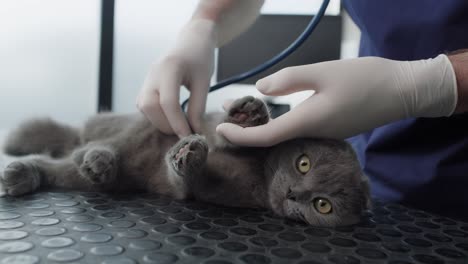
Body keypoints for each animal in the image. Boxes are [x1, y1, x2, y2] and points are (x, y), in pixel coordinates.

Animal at [1, 96, 372, 226]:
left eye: (323, 205)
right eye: (303, 163)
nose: (294, 193)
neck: (260, 173)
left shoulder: (209, 192)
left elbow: (188, 182)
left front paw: (187, 158)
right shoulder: (210, 126)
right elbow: (225, 132)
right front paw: (249, 115)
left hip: (100, 178)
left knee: (61, 167)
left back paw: (27, 173)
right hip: (130, 130)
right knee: (85, 149)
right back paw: (95, 156)